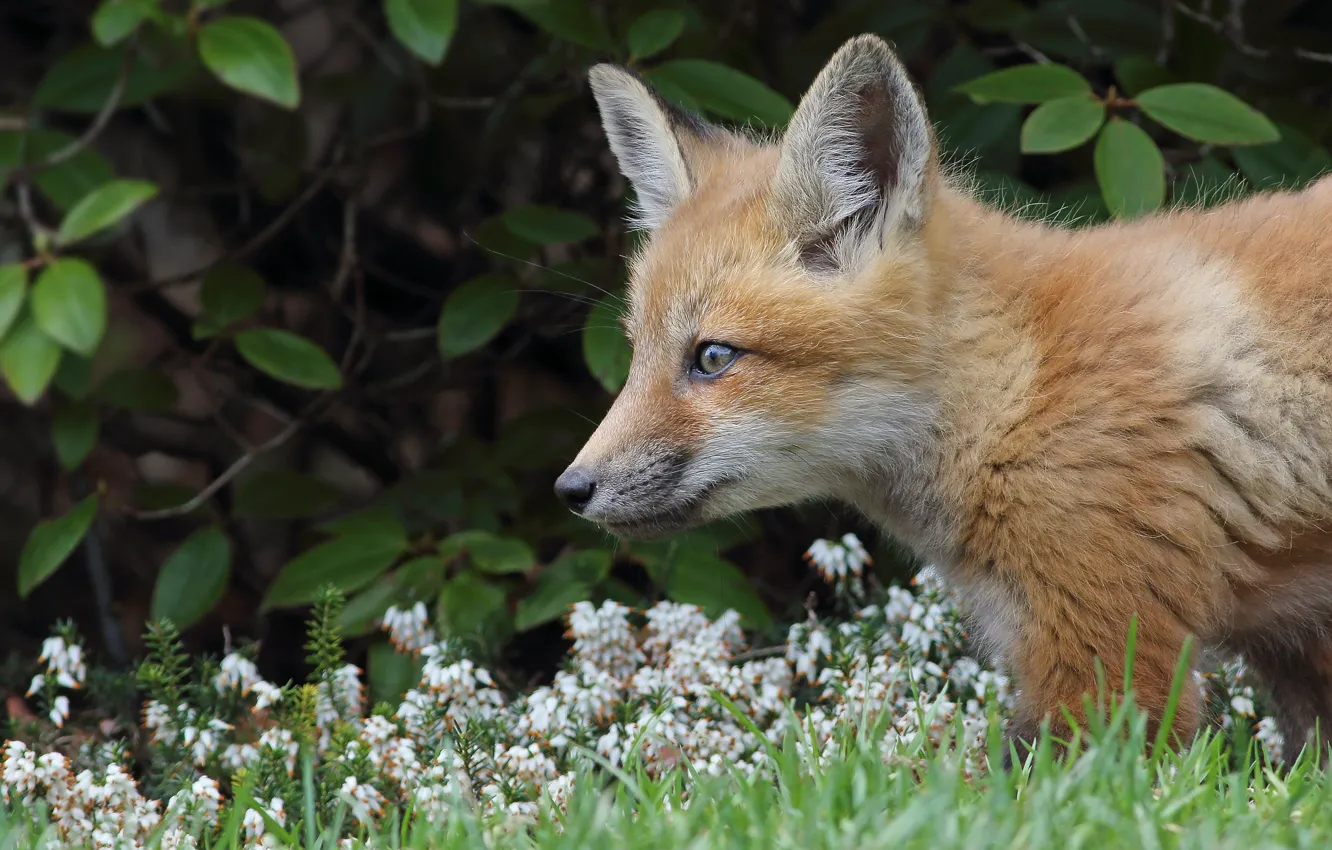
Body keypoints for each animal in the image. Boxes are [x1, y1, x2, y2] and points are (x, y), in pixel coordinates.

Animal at [553, 32, 1332, 768]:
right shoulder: (1293, 652)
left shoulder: (1108, 656)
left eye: (713, 358)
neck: (1015, 396)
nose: (571, 489)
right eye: (636, 353)